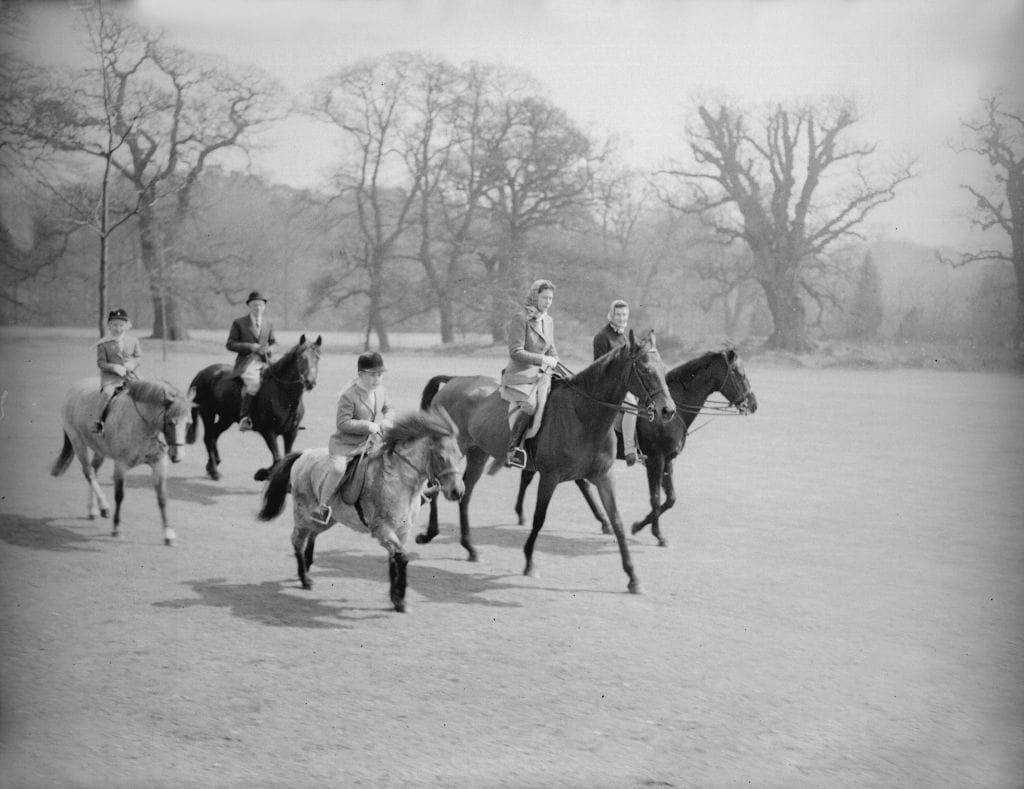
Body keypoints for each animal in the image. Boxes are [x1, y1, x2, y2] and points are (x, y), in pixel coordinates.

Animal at [50, 378, 192, 545]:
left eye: (188, 424)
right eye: (170, 422)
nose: (177, 456)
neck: (142, 424)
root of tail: (74, 388)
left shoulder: (159, 463)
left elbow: (162, 498)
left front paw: (167, 533)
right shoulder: (121, 465)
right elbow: (119, 496)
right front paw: (116, 528)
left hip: (99, 450)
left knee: (94, 471)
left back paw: (93, 509)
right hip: (78, 442)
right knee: (89, 473)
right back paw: (103, 507)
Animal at [186, 334, 322, 481]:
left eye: (317, 358)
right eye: (301, 358)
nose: (310, 382)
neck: (283, 394)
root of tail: (202, 373)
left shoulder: (291, 433)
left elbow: (286, 457)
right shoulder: (269, 432)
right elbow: (278, 458)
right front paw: (263, 473)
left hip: (226, 418)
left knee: (213, 436)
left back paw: (212, 465)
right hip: (208, 414)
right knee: (208, 437)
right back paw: (214, 471)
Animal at [256, 406, 465, 612]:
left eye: (460, 456)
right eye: (441, 457)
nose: (458, 491)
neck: (400, 482)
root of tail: (303, 455)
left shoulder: (402, 531)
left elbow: (395, 560)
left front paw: (395, 598)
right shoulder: (382, 530)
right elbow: (402, 558)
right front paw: (400, 599)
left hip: (326, 518)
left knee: (312, 535)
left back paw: (307, 568)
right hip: (303, 514)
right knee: (298, 541)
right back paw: (305, 578)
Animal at [416, 330, 676, 594]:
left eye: (663, 367)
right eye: (644, 368)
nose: (668, 410)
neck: (583, 414)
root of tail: (453, 381)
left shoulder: (604, 476)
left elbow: (617, 522)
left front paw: (633, 577)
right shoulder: (550, 477)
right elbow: (539, 519)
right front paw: (529, 562)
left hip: (478, 453)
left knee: (464, 495)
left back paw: (469, 548)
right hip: (453, 451)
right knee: (435, 486)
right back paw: (429, 534)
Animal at [514, 347, 758, 547]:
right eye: (738, 372)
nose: (753, 404)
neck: (673, 411)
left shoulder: (668, 460)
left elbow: (670, 499)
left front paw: (639, 526)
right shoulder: (656, 459)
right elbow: (656, 498)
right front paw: (656, 534)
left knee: (574, 481)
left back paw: (603, 522)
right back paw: (523, 514)